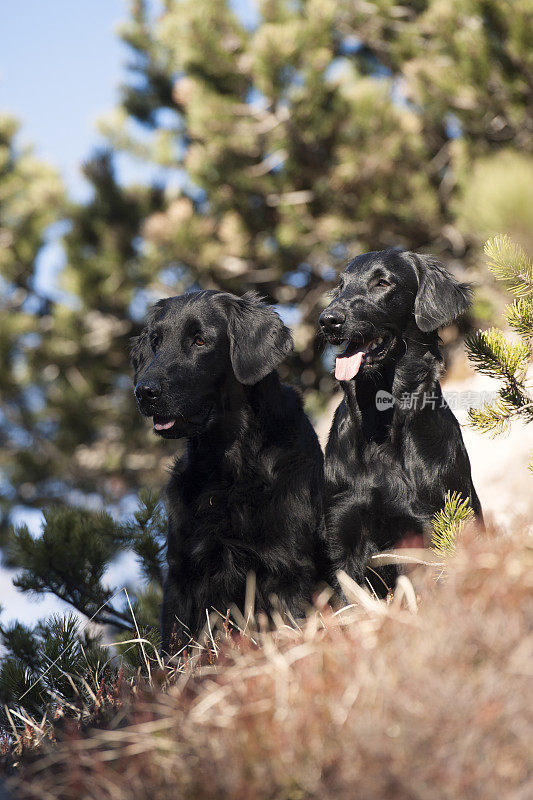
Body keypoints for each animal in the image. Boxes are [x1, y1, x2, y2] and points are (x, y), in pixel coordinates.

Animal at [131, 290, 326, 652]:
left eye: (199, 340)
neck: (229, 465)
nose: (144, 392)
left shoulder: (289, 568)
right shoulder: (183, 575)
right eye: (155, 342)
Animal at [318, 250, 484, 592]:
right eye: (340, 286)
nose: (328, 320)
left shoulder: (431, 523)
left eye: (382, 282)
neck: (380, 422)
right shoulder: (342, 527)